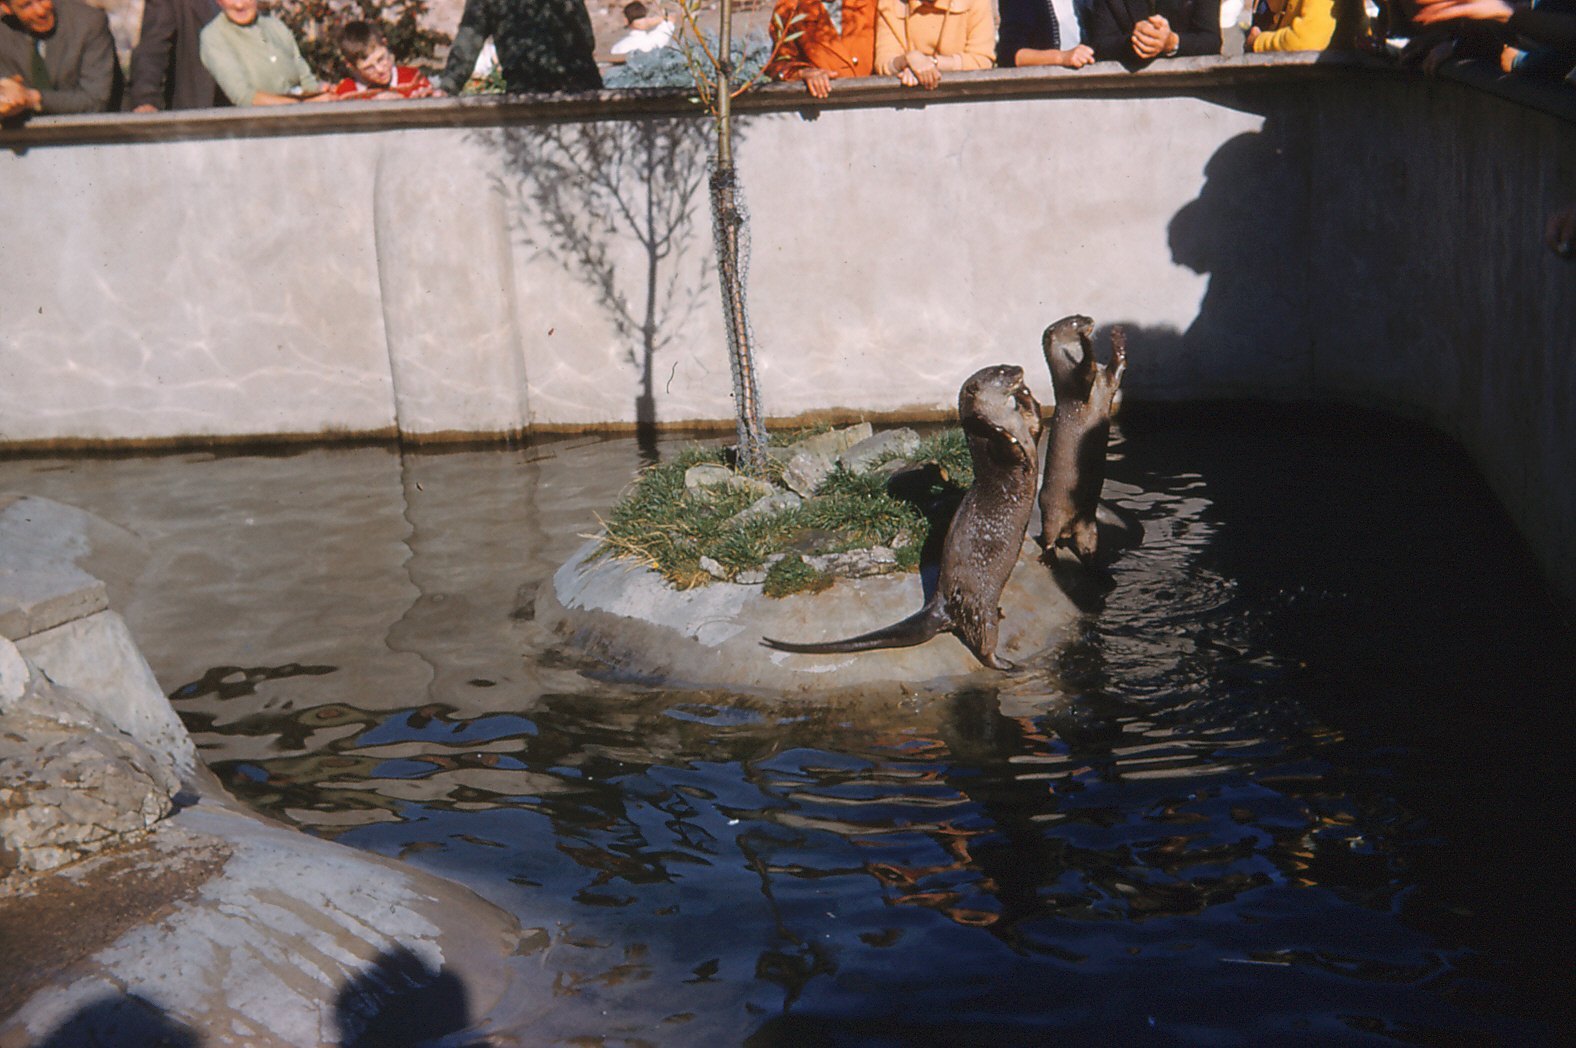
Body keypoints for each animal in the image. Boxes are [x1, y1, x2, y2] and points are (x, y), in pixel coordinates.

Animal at [762, 364, 1042, 670]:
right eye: (1000, 372)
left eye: (1007, 366)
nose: (1019, 370)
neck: (1010, 422)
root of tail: (940, 603)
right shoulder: (995, 453)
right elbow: (1008, 450)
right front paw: (994, 427)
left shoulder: (1027, 430)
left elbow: (1035, 425)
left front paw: (1026, 394)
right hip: (977, 604)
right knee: (983, 640)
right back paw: (1005, 663)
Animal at [1038, 315, 1126, 566]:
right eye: (1073, 322)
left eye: (1079, 315)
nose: (1089, 320)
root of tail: (1068, 529)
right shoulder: (1074, 382)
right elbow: (1087, 368)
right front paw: (1087, 344)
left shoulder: (1105, 382)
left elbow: (1116, 370)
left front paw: (1118, 340)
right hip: (1051, 509)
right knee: (1048, 536)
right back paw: (1048, 556)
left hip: (1088, 523)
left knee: (1087, 543)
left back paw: (1095, 564)